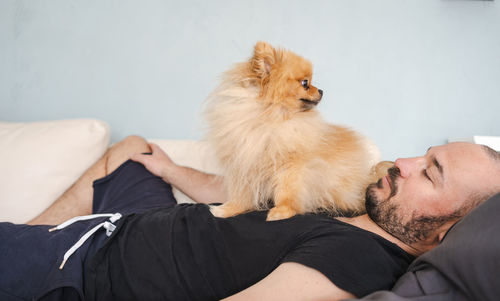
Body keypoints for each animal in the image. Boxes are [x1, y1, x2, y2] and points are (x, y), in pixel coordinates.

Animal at [203, 41, 386, 220]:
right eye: (305, 83)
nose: (321, 90)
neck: (271, 118)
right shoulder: (243, 164)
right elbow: (240, 194)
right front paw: (227, 210)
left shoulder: (290, 166)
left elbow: (287, 191)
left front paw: (282, 210)